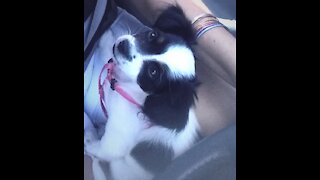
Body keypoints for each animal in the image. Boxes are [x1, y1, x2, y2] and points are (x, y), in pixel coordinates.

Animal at [85, 5, 200, 180]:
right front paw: (107, 37)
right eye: (153, 35)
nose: (123, 46)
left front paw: (89, 141)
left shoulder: (116, 139)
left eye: (153, 72)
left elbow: (102, 148)